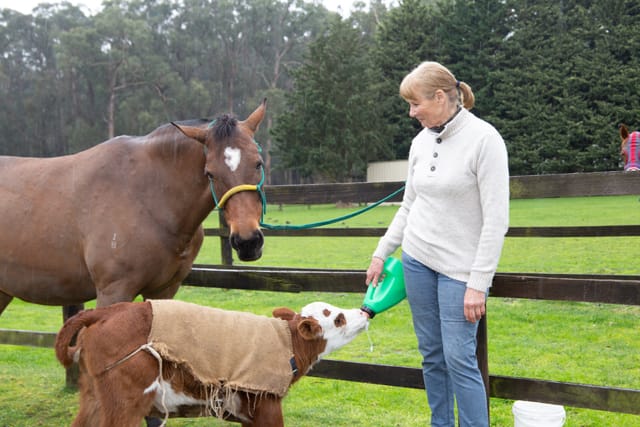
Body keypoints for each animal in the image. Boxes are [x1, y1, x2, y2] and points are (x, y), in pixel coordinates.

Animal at [0, 100, 267, 317]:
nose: (247, 241)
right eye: (210, 173)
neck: (149, 198)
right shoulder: (114, 292)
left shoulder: (164, 290)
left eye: (258, 163)